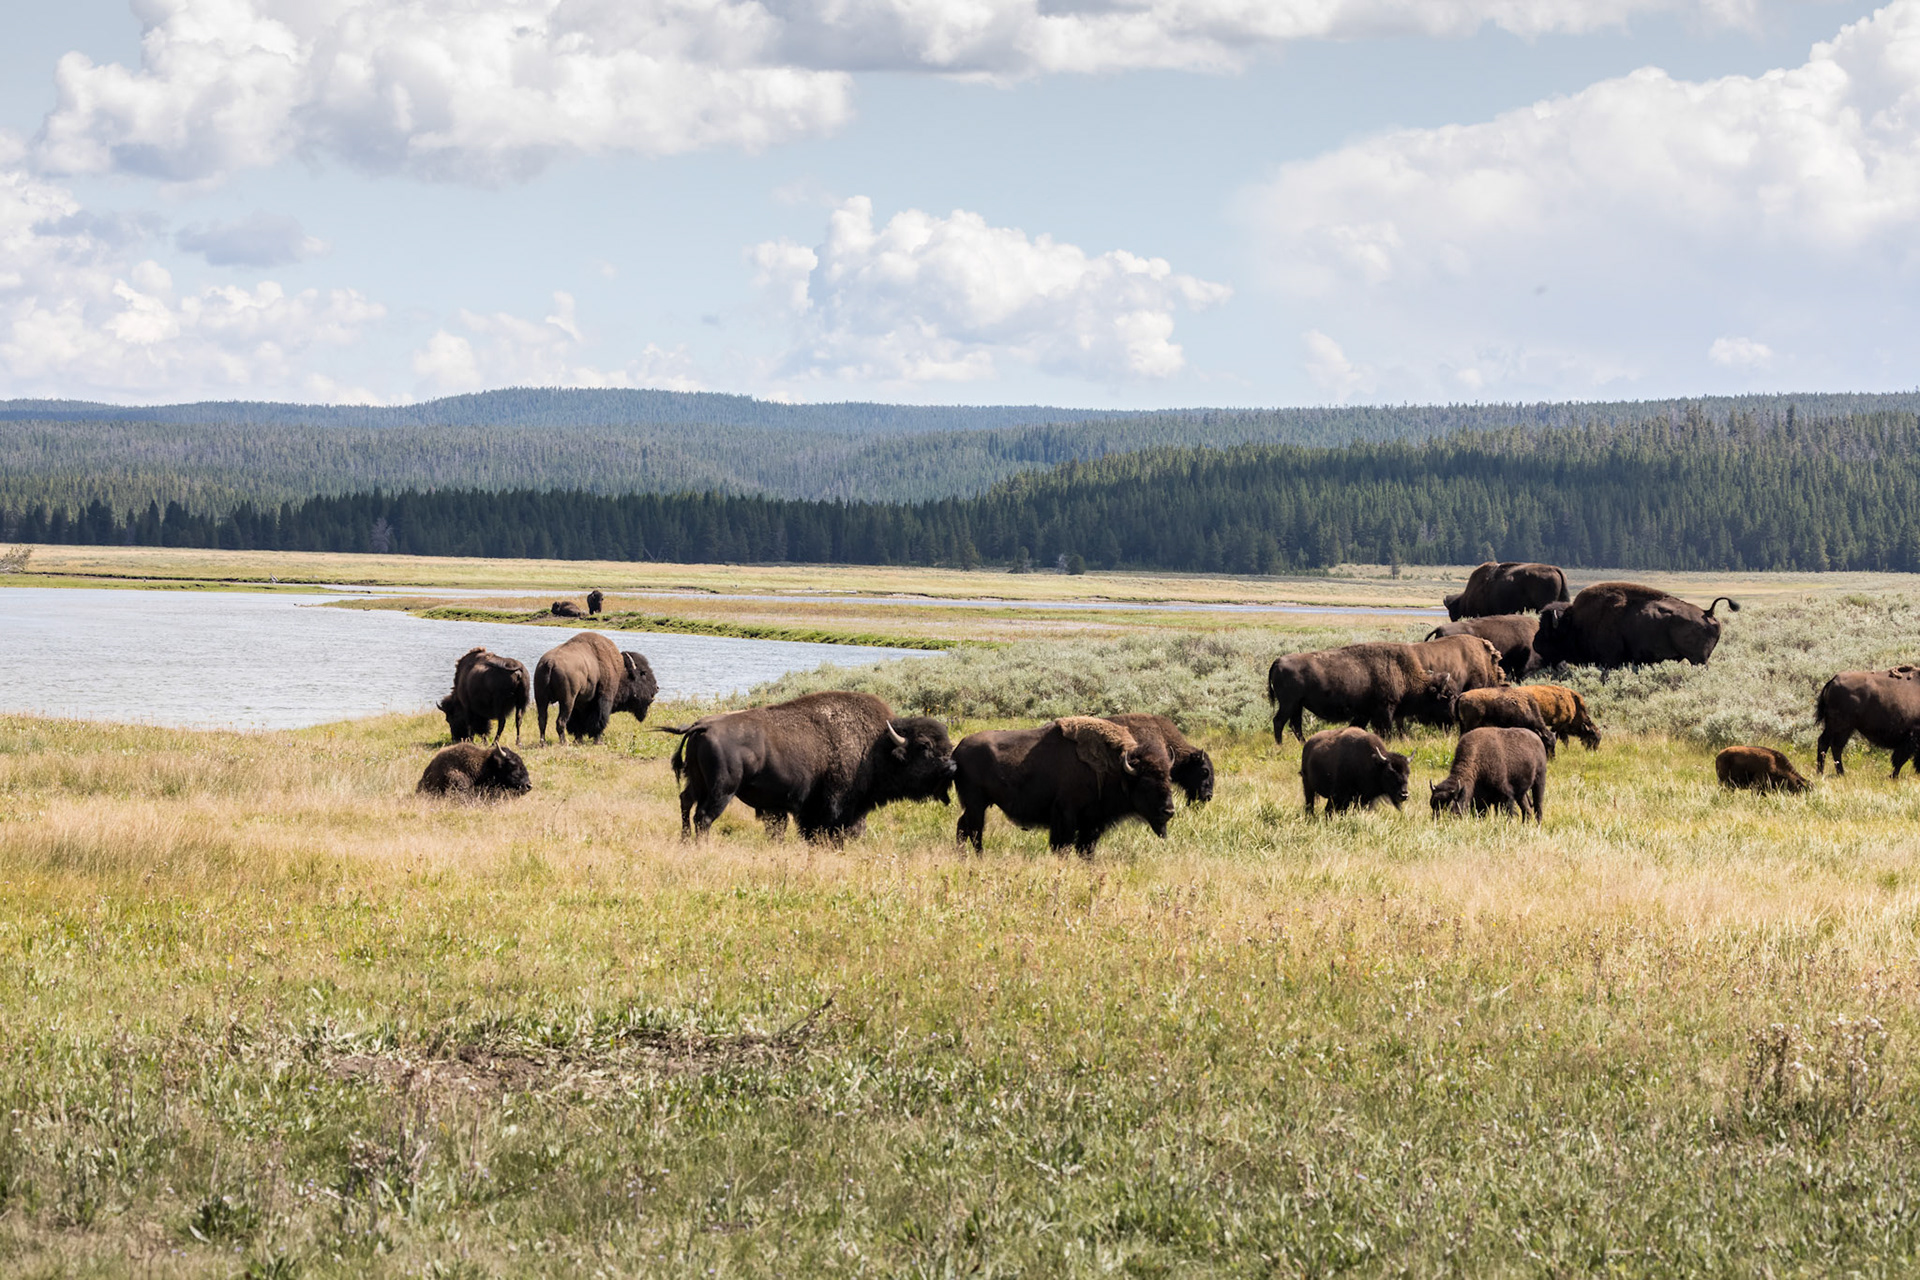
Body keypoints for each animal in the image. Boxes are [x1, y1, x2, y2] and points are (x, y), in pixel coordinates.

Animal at [669, 692, 956, 842]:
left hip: (697, 783)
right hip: (722, 790)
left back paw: (684, 842)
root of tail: (701, 726)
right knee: (703, 816)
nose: (951, 766)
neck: (876, 745)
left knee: (685, 802)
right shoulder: (835, 807)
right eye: (924, 746)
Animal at [954, 717, 1175, 857]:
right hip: (976, 805)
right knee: (974, 832)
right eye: (1146, 782)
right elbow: (1063, 845)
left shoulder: (1091, 822)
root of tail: (958, 750)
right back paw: (979, 857)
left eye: (1168, 779)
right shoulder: (1066, 814)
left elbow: (1085, 849)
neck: (1117, 768)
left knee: (963, 828)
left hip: (976, 806)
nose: (1169, 811)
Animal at [1267, 642, 1461, 742]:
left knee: (1295, 725)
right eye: (1448, 697)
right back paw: (1280, 745)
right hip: (1289, 704)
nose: (1454, 719)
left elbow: (1356, 727)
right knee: (1279, 721)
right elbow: (1385, 729)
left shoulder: (1364, 714)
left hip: (1297, 705)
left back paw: (1302, 743)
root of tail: (1278, 661)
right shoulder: (1384, 710)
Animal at [1532, 583, 1738, 669]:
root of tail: (1707, 612)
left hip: (1698, 659)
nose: (1535, 644)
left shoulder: (1610, 660)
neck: (1575, 621)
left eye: (1548, 630)